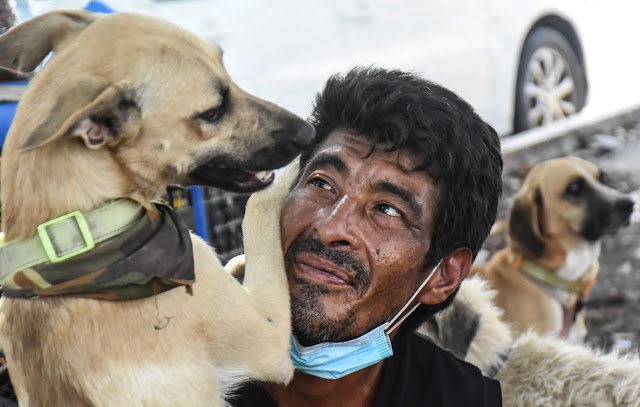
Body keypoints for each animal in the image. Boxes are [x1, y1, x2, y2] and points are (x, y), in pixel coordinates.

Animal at [0, 9, 312, 407]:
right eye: (212, 112)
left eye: (226, 69)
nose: (309, 133)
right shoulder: (270, 336)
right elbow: (258, 207)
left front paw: (237, 264)